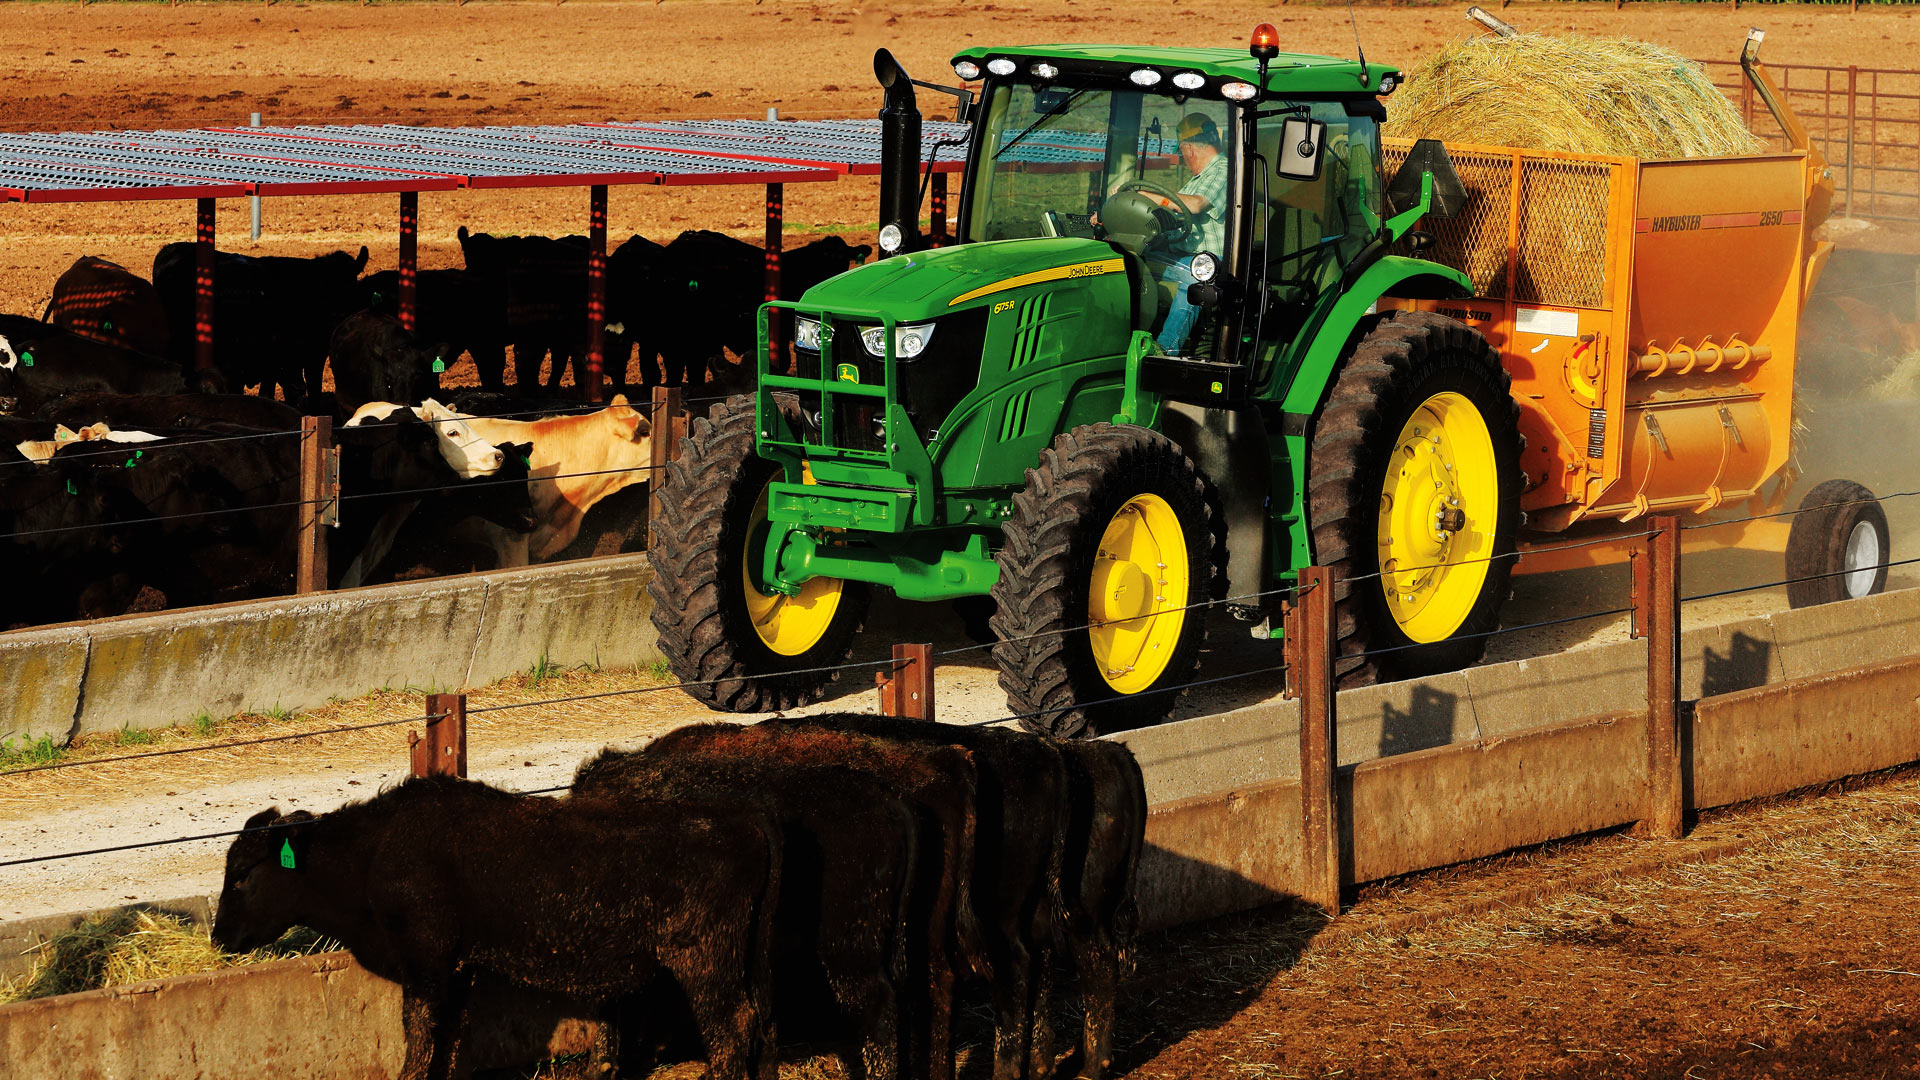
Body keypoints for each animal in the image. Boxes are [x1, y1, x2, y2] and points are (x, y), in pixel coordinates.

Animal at [212, 779, 782, 1080]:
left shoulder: (426, 960)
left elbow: (419, 1030)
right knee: (758, 1020)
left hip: (704, 961)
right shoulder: (457, 967)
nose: (218, 937)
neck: (375, 852)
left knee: (730, 1026)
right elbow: (447, 1034)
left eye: (241, 875)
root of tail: (744, 819)